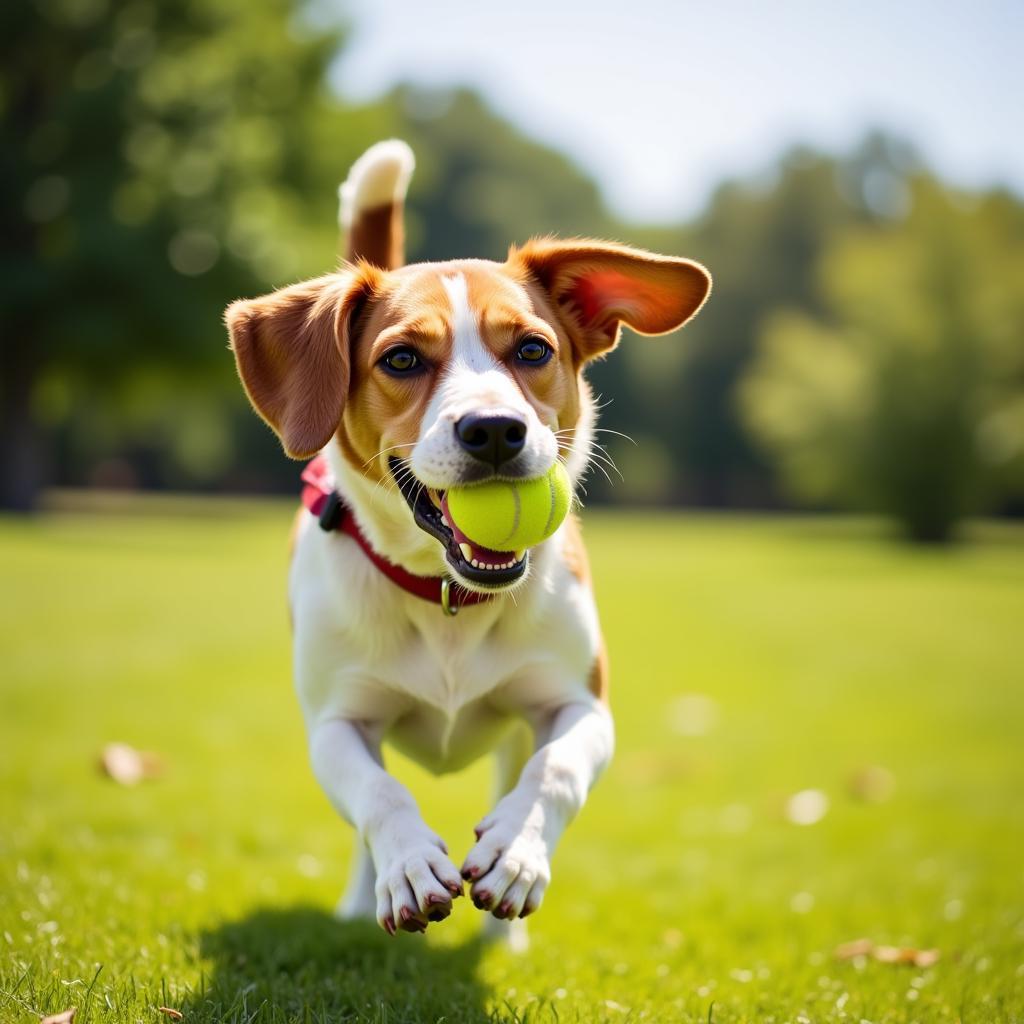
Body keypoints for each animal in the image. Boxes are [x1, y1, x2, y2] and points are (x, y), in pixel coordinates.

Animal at [222, 138, 712, 942]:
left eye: (534, 349)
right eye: (401, 359)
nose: (494, 430)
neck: (449, 596)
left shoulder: (581, 704)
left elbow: (556, 769)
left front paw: (515, 851)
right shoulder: (336, 721)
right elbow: (378, 794)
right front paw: (407, 866)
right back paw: (361, 901)